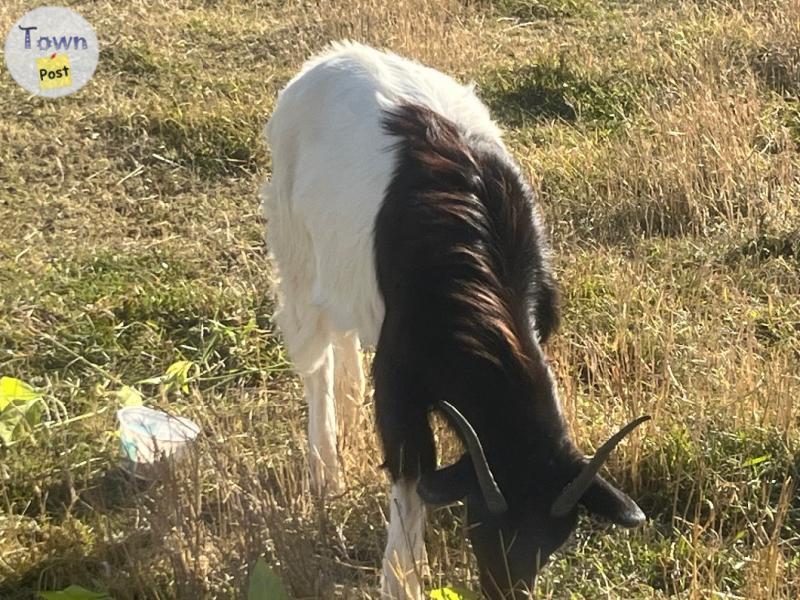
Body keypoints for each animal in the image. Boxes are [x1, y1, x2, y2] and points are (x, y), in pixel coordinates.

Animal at [262, 39, 648, 596]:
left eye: (555, 541)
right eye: (481, 525)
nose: (504, 590)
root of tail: (328, 59)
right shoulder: (400, 374)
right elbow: (409, 477)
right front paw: (400, 582)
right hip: (294, 244)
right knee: (315, 357)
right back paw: (327, 474)